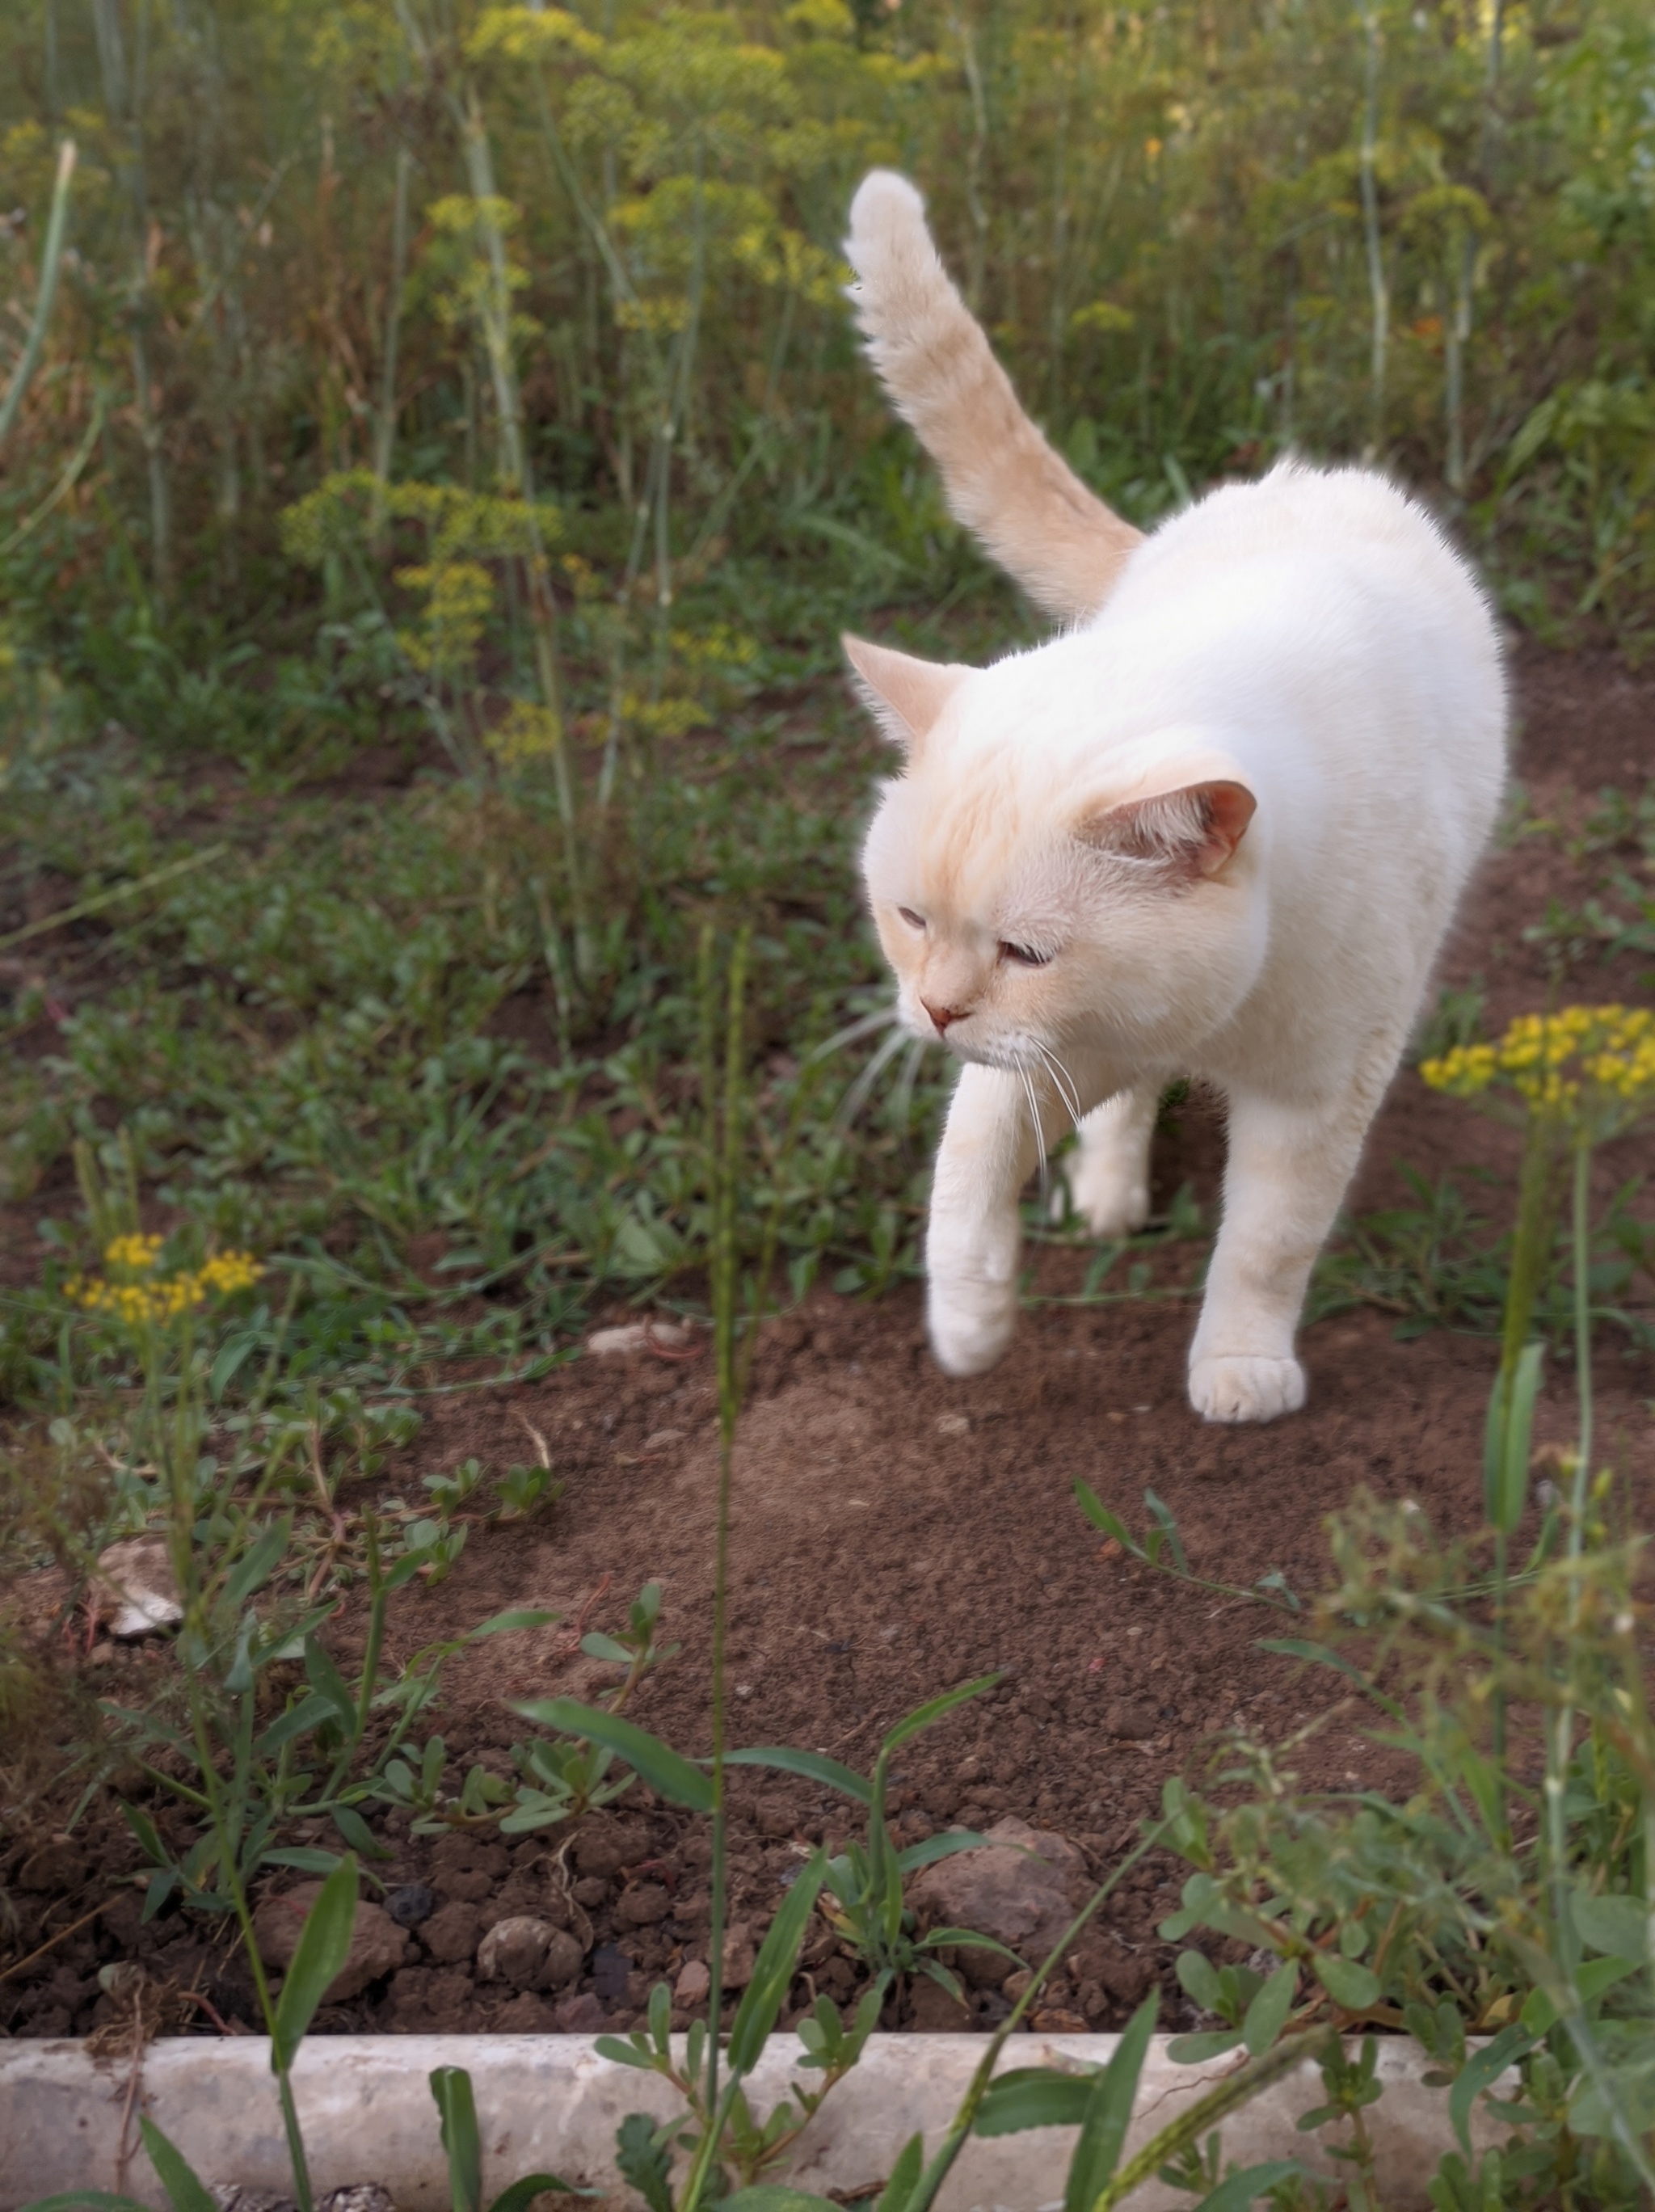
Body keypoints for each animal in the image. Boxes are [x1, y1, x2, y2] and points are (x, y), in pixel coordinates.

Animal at [844, 168, 1504, 1415]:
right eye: (910, 920)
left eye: (1026, 951)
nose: (939, 1012)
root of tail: (1298, 481)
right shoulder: (1038, 1057)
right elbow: (965, 1177)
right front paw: (969, 1327)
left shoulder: (1315, 1096)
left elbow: (1266, 1245)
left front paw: (1239, 1370)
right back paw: (1107, 1200)